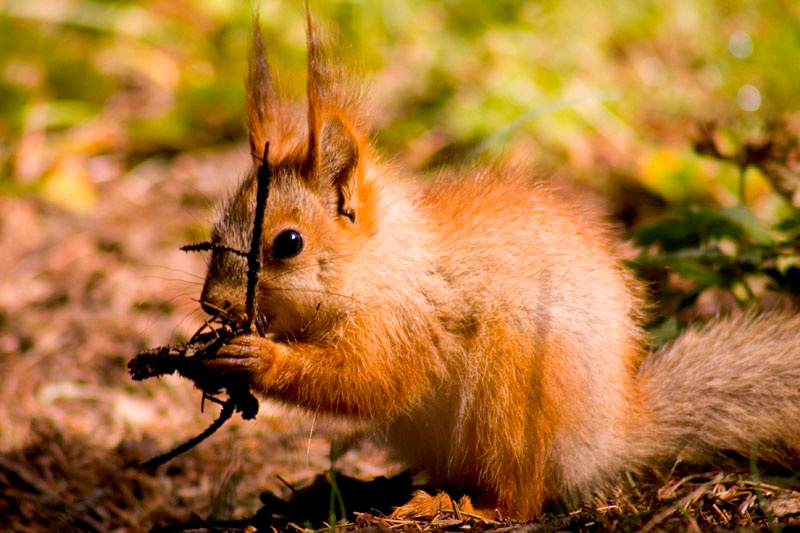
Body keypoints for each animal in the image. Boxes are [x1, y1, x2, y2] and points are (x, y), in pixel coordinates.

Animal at [197, 19, 800, 519]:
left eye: (289, 242)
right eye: (215, 232)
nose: (212, 304)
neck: (379, 266)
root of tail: (605, 438)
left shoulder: (402, 324)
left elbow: (370, 381)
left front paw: (259, 356)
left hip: (515, 389)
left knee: (523, 497)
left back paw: (466, 507)